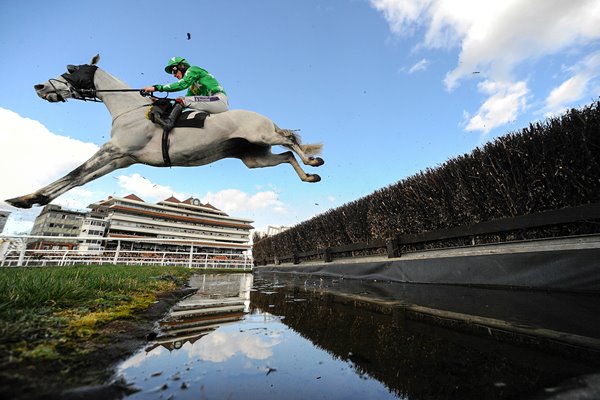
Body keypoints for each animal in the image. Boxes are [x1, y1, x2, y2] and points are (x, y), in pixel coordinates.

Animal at [4, 55, 324, 209]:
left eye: (71, 71)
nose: (40, 87)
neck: (129, 109)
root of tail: (263, 117)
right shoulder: (122, 158)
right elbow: (81, 178)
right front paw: (30, 199)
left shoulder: (114, 149)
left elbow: (74, 172)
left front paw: (29, 197)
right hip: (254, 157)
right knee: (285, 155)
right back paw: (309, 176)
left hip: (262, 137)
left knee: (290, 140)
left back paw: (313, 161)